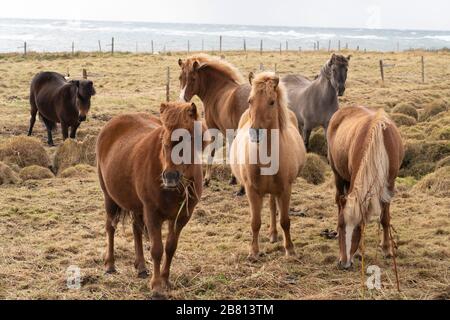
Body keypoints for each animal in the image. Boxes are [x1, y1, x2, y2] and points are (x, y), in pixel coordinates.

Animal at [98, 102, 204, 292]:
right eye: (163, 141)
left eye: (188, 139)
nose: (170, 176)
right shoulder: (152, 213)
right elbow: (157, 250)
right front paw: (156, 286)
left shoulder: (181, 217)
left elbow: (170, 248)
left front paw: (165, 279)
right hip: (110, 198)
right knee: (110, 227)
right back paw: (110, 264)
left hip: (136, 205)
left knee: (136, 229)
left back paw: (140, 266)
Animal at [178, 54, 250, 192]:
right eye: (180, 77)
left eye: (193, 78)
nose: (182, 100)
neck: (217, 89)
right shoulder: (228, 132)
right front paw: (233, 179)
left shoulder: (213, 129)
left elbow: (211, 152)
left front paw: (206, 180)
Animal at [232, 71, 306, 258]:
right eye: (250, 100)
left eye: (271, 102)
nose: (255, 133)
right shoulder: (251, 191)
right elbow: (255, 222)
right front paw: (253, 251)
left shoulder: (285, 189)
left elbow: (285, 220)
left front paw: (290, 249)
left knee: (273, 207)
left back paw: (274, 234)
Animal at [326, 106, 404, 268]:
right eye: (340, 226)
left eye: (359, 227)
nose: (344, 263)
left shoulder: (389, 186)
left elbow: (385, 218)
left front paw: (387, 248)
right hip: (338, 175)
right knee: (338, 201)